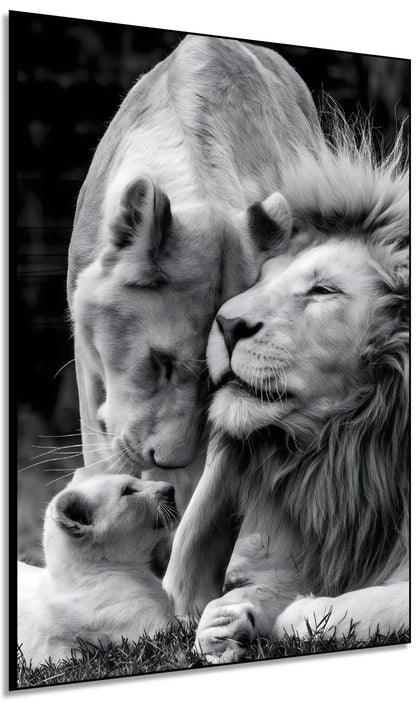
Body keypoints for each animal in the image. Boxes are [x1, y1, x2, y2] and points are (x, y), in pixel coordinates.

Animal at [163, 115, 409, 662]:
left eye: (323, 290)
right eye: (263, 279)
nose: (226, 323)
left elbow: (361, 606)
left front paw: (302, 614)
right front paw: (227, 621)